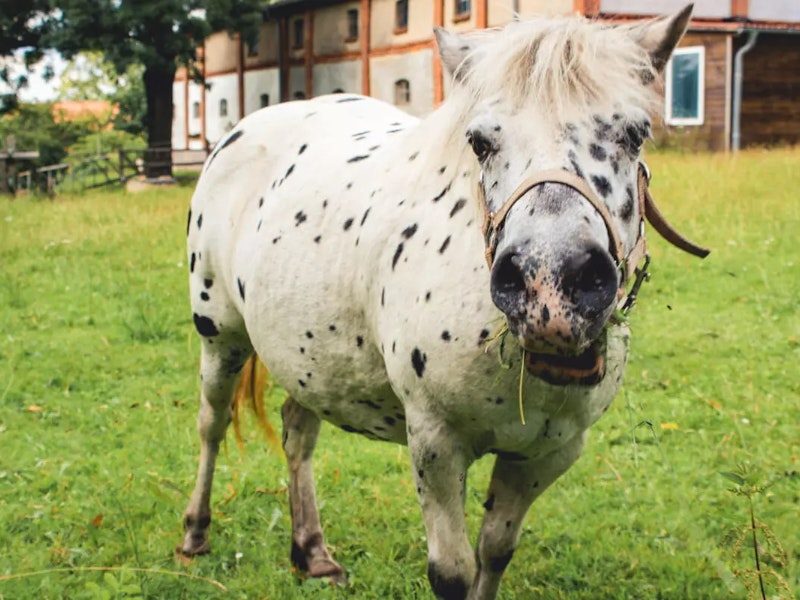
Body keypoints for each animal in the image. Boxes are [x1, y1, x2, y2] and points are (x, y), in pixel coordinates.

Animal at [179, 5, 708, 598]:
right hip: (220, 335)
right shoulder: (435, 442)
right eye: (479, 142)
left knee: (298, 433)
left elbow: (494, 552)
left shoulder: (545, 455)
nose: (550, 282)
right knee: (212, 424)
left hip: (308, 357)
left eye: (636, 134)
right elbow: (452, 571)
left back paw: (311, 552)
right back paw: (195, 533)